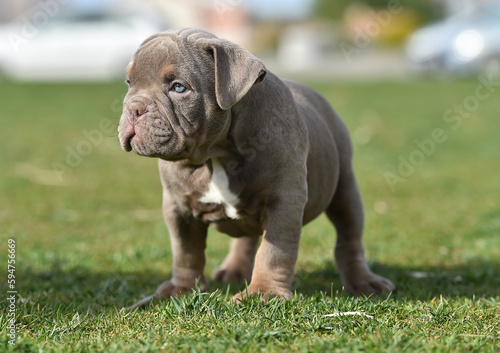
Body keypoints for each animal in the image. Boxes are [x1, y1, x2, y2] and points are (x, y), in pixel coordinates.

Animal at [118, 27, 394, 304]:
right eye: (129, 83)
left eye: (178, 87)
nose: (134, 108)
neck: (216, 155)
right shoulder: (178, 207)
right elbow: (185, 252)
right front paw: (181, 289)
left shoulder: (284, 202)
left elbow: (274, 253)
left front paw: (264, 293)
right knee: (247, 237)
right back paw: (234, 270)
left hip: (344, 187)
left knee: (349, 237)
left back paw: (364, 281)